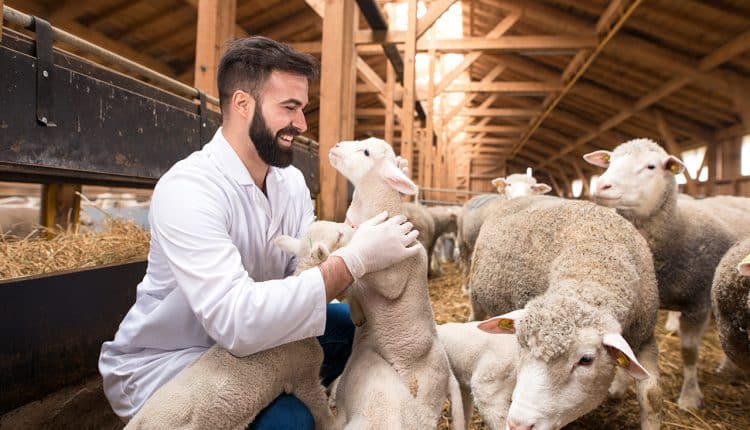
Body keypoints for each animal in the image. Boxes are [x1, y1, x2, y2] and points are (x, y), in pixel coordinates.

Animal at [125, 220, 354, 430]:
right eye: (340, 235)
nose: (353, 226)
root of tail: (136, 423)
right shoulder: (304, 375)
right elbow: (319, 409)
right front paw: (337, 421)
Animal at [328, 139, 464, 430]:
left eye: (366, 152)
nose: (336, 145)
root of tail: (449, 375)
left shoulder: (393, 278)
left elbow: (360, 264)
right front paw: (356, 310)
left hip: (423, 398)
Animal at [470, 197, 664, 428]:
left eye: (586, 360)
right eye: (521, 346)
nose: (519, 425)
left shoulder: (645, 336)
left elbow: (652, 396)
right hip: (475, 294)